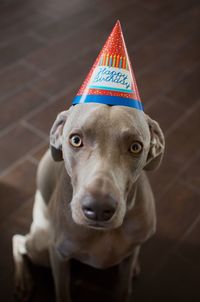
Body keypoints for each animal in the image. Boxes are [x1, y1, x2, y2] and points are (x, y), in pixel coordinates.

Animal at [12, 102, 165, 300]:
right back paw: (23, 282)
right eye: (76, 140)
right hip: (41, 248)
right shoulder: (58, 255)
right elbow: (62, 291)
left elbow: (124, 288)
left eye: (135, 147)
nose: (98, 209)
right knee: (18, 241)